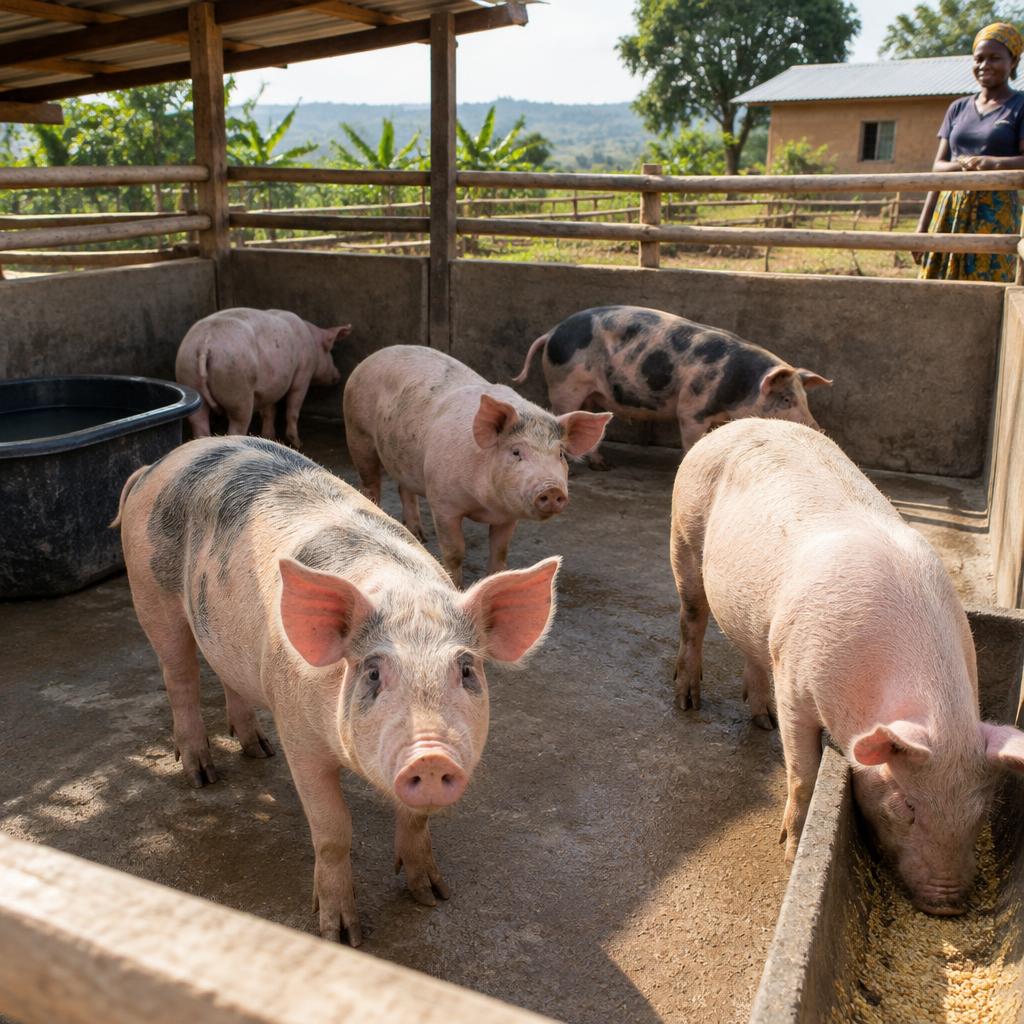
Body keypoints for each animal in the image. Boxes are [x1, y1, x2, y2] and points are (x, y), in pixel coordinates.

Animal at [113, 435, 560, 944]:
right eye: (373, 673)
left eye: (466, 670)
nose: (430, 755)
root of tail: (158, 465)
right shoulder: (298, 735)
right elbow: (332, 831)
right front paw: (341, 935)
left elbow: (416, 819)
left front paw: (431, 895)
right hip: (152, 594)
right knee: (180, 675)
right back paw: (203, 775)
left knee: (227, 675)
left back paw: (258, 749)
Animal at [175, 307, 351, 449]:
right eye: (330, 351)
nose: (338, 375)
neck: (312, 341)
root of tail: (206, 343)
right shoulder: (303, 374)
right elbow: (293, 408)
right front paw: (298, 443)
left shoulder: (272, 385)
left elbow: (269, 410)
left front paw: (269, 436)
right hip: (237, 387)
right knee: (237, 425)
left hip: (188, 373)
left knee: (199, 424)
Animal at [344, 345, 612, 588]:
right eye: (516, 452)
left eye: (560, 454)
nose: (552, 489)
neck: (486, 505)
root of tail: (373, 356)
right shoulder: (442, 503)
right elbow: (454, 552)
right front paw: (458, 587)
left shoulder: (507, 516)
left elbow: (500, 553)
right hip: (357, 433)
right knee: (370, 483)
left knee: (403, 487)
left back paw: (420, 536)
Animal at [513, 305, 831, 469]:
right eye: (787, 399)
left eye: (804, 397)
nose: (818, 429)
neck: (739, 386)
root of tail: (552, 332)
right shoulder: (691, 410)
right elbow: (691, 440)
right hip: (564, 384)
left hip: (589, 392)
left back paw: (602, 464)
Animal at [670, 418, 1024, 914]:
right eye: (908, 806)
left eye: (980, 812)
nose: (948, 905)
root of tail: (737, 424)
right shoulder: (796, 682)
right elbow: (802, 773)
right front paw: (792, 853)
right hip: (683, 533)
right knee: (693, 617)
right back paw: (688, 702)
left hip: (761, 622)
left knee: (752, 652)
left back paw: (762, 720)